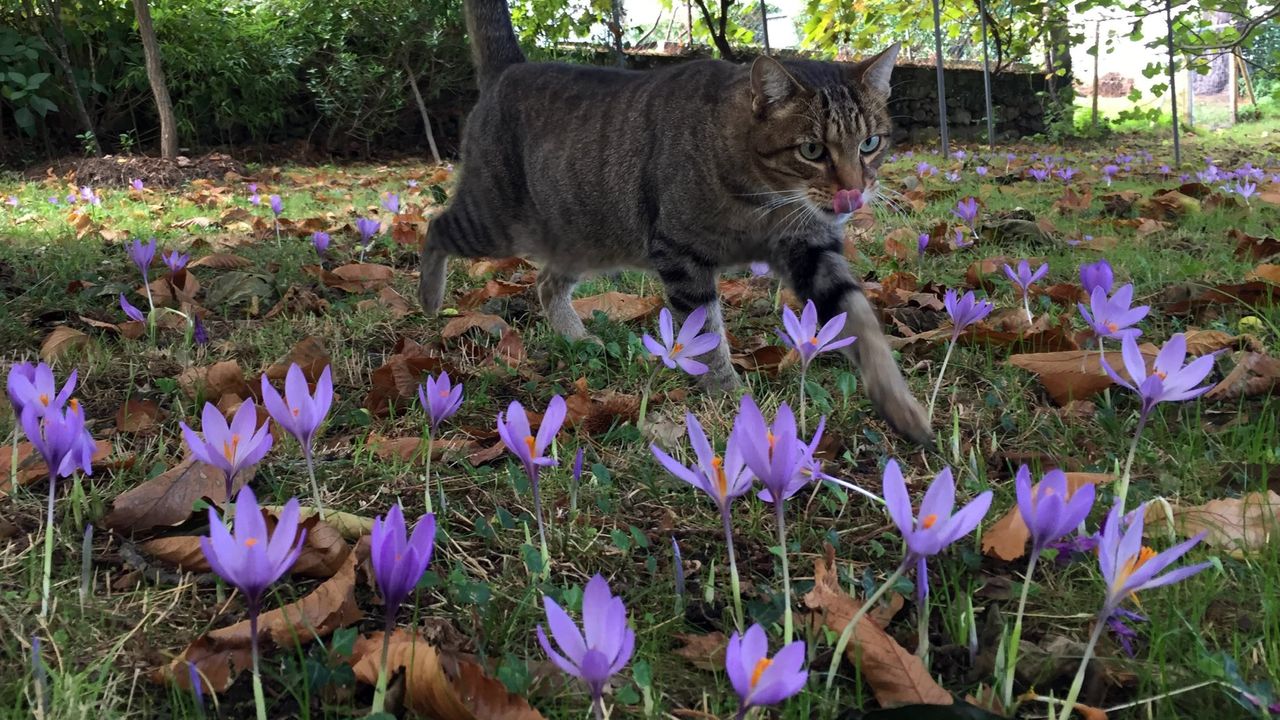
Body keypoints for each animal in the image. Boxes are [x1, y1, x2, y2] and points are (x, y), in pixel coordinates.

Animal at [419, 0, 931, 443]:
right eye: (812, 150)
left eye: (870, 143)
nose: (854, 192)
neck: (765, 199)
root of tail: (511, 68)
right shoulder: (681, 254)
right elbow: (706, 337)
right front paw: (733, 401)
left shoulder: (810, 246)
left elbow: (861, 320)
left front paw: (902, 406)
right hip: (494, 221)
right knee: (435, 227)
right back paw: (429, 299)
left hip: (582, 237)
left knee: (546, 284)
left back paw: (579, 338)